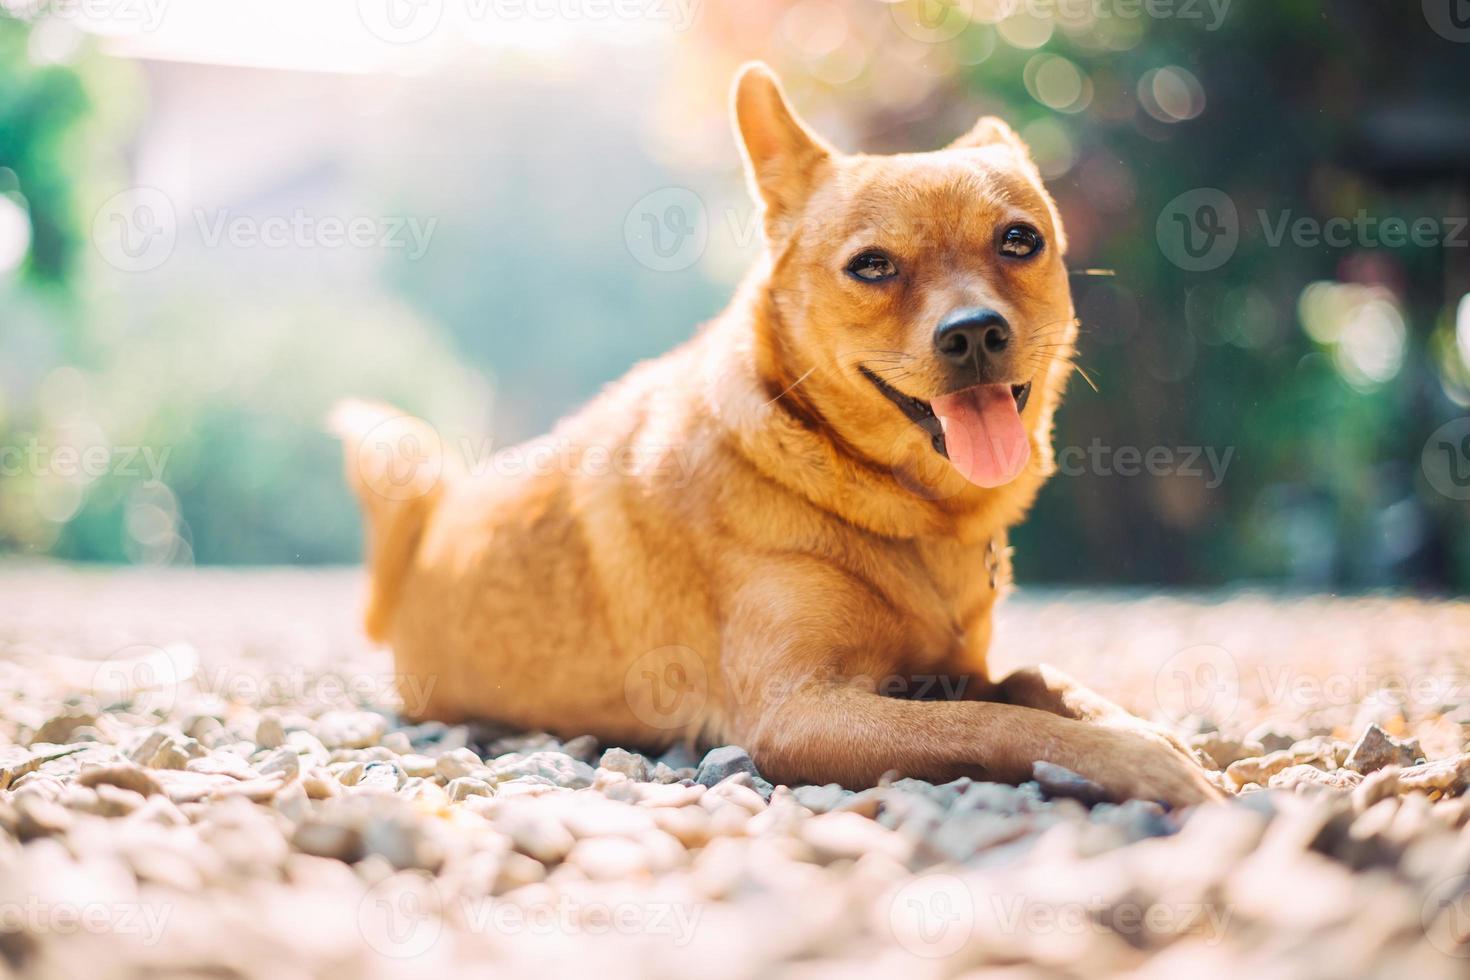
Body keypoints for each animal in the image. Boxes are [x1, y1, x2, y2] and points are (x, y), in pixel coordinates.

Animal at [333, 65, 1217, 811]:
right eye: (871, 266)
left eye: (1019, 241)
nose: (973, 332)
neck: (907, 513)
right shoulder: (801, 713)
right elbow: (998, 724)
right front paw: (1140, 762)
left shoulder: (963, 669)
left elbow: (1042, 680)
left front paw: (1143, 731)